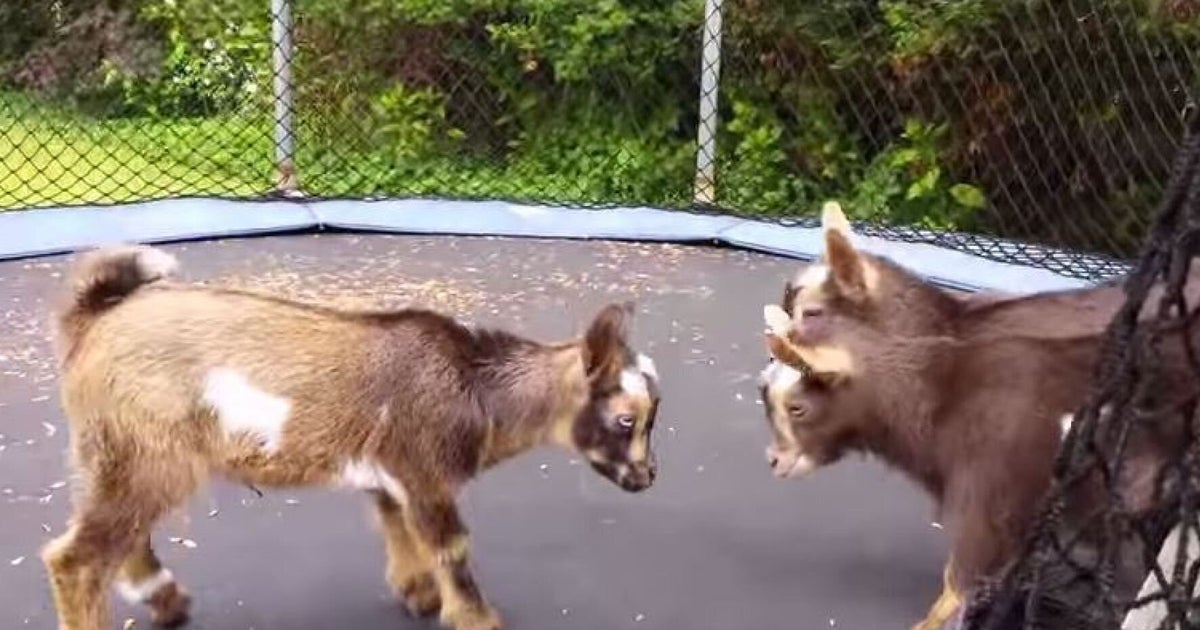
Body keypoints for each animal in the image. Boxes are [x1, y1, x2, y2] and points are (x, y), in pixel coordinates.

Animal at [41, 244, 663, 630]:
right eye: (626, 419)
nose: (648, 476)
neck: (474, 386)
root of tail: (93, 321)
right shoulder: (426, 471)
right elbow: (452, 547)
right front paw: (477, 618)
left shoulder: (392, 474)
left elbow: (398, 528)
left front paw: (418, 594)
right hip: (147, 453)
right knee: (76, 559)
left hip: (115, 456)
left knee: (120, 534)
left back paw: (166, 599)